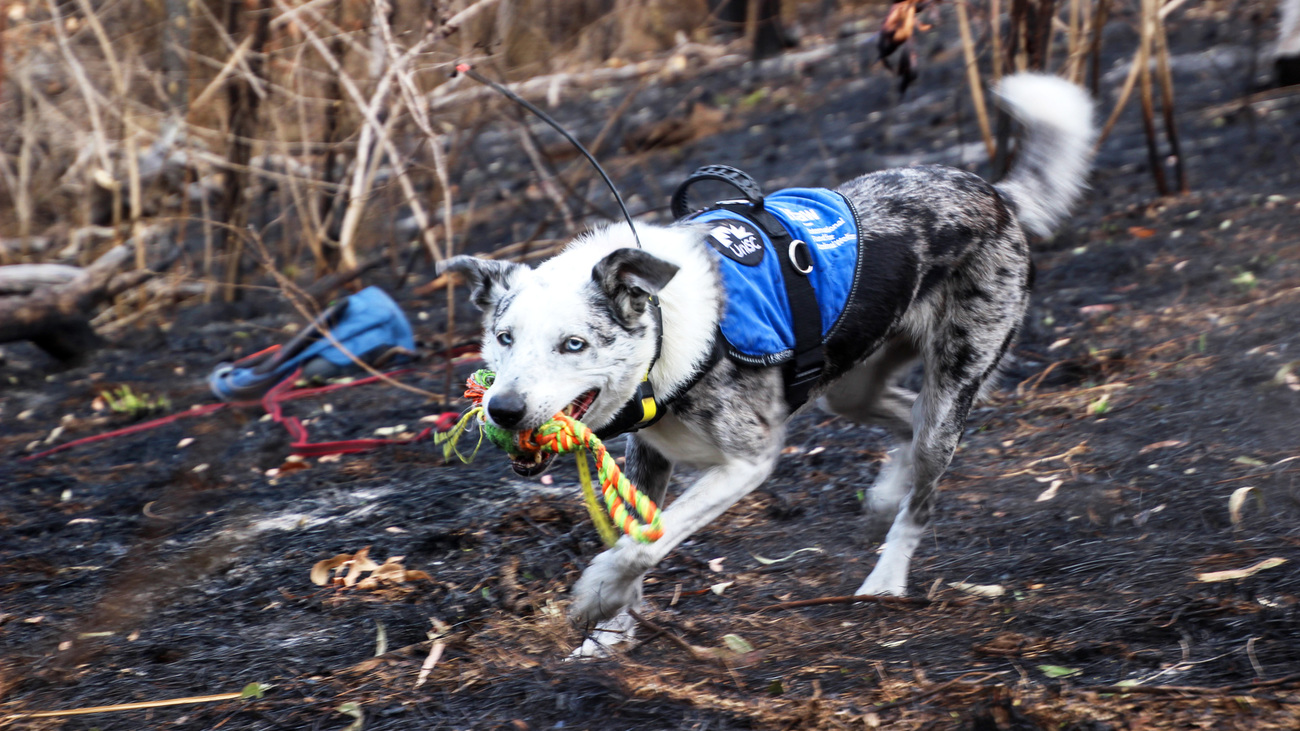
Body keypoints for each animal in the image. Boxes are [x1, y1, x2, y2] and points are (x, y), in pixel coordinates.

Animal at [441, 74, 1092, 655]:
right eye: (502, 338)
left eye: (573, 344)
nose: (503, 409)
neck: (667, 335)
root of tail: (994, 194)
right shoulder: (648, 453)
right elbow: (636, 534)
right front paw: (610, 636)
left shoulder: (748, 459)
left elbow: (651, 538)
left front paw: (599, 592)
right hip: (852, 385)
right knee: (903, 414)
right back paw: (887, 490)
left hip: (952, 386)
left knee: (925, 487)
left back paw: (886, 578)